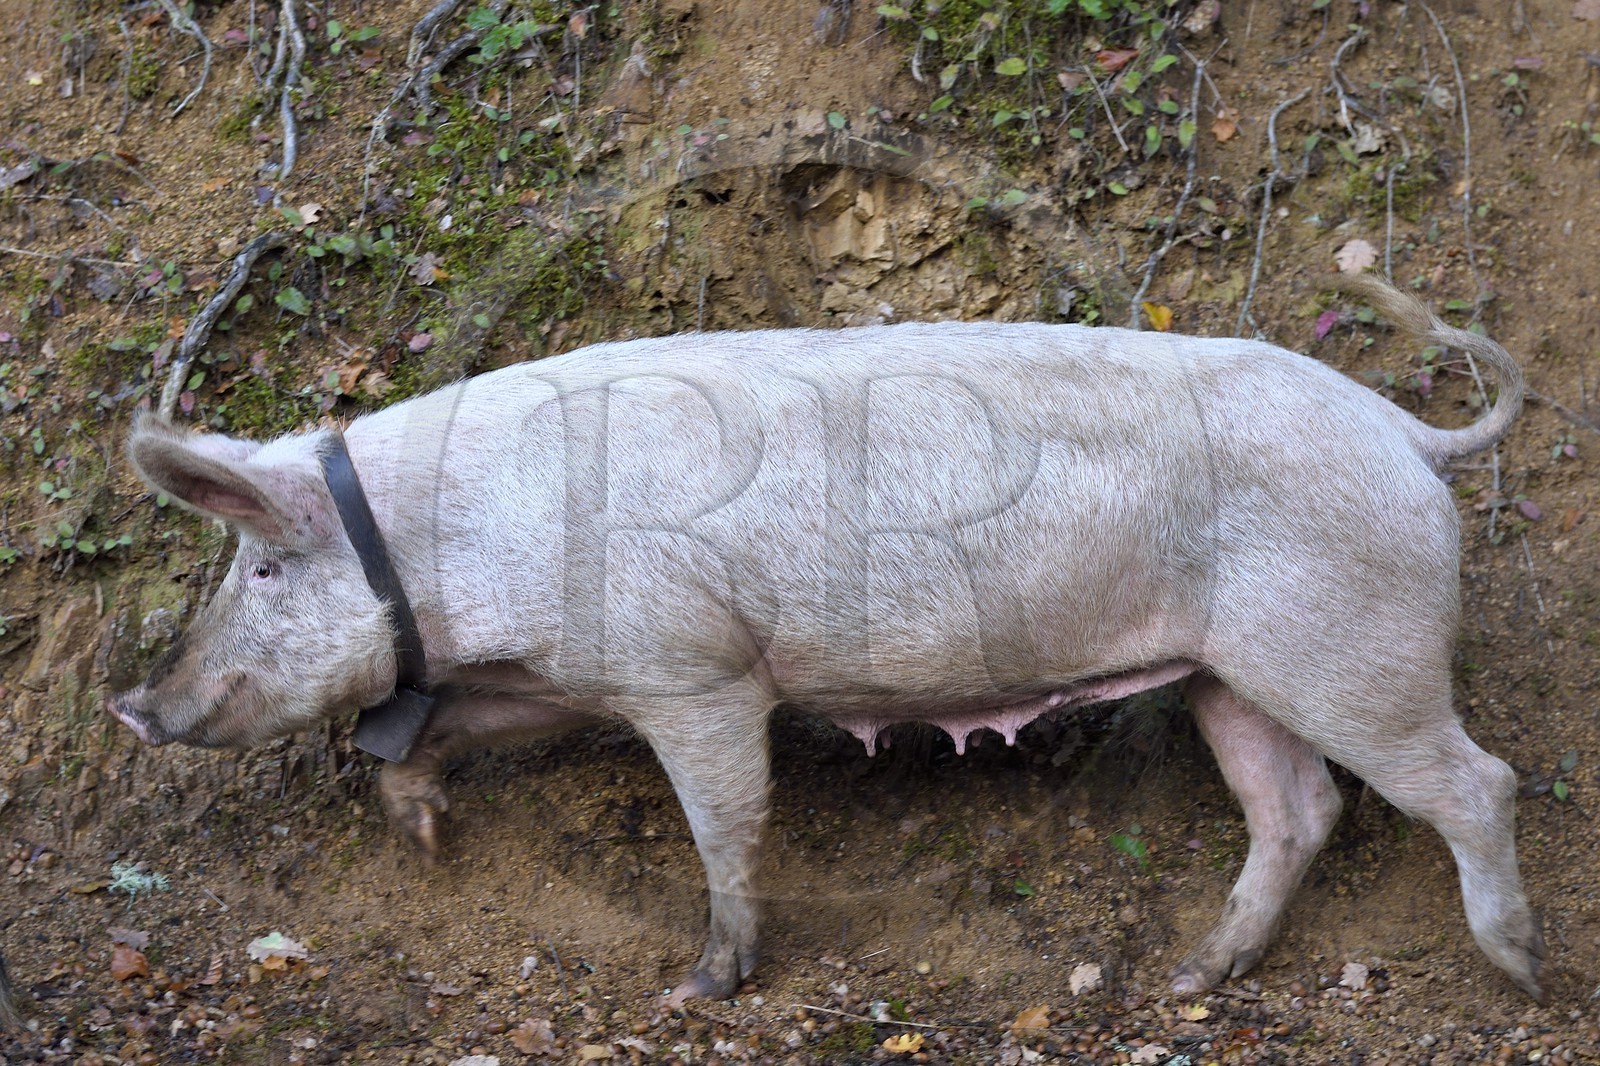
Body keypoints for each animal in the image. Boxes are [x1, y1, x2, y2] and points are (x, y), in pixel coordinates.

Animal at [108, 274, 1545, 1005]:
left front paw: (699, 989)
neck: (450, 535)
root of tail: (1407, 433)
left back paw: (1520, 972)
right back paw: (1195, 979)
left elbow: (725, 817)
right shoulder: (574, 672)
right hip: (1226, 671)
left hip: (1347, 640)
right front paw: (421, 833)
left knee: (1476, 780)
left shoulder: (691, 665)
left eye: (262, 564)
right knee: (1297, 806)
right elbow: (457, 717)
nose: (135, 705)